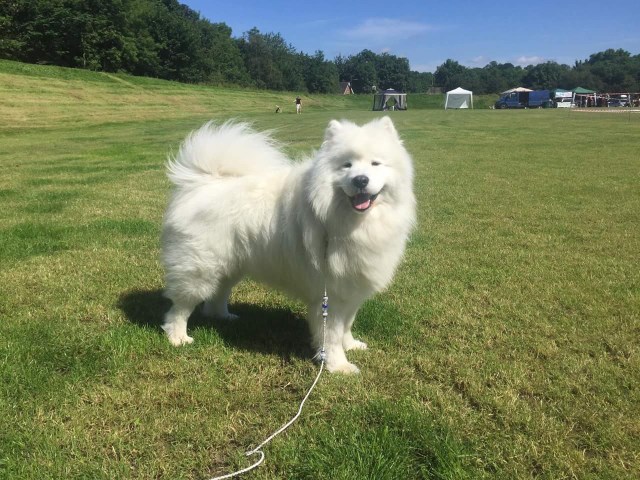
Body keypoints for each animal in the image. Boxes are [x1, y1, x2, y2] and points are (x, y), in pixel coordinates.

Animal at [161, 118, 416, 374]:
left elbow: (347, 325)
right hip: (200, 269)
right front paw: (339, 366)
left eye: (375, 163)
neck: (349, 221)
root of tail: (203, 183)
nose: (360, 180)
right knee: (180, 307)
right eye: (346, 165)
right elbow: (332, 335)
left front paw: (351, 345)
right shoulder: (330, 294)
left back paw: (223, 317)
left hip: (230, 266)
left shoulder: (352, 288)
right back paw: (178, 338)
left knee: (218, 294)